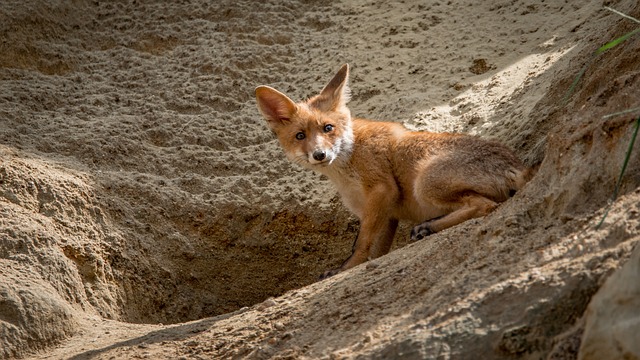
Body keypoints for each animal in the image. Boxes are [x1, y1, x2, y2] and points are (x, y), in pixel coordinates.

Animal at [255, 64, 528, 278]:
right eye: (300, 136)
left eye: (328, 128)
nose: (320, 155)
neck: (350, 162)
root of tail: (517, 165)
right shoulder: (386, 214)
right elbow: (375, 251)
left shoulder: (382, 190)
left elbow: (361, 244)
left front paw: (346, 269)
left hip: (424, 184)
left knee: (485, 205)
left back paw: (430, 227)